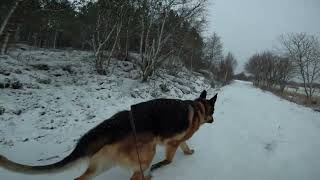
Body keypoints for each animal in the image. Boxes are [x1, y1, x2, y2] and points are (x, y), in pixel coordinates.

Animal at [0, 90, 218, 179]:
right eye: (213, 112)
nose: (214, 121)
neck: (198, 106)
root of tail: (116, 124)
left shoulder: (178, 141)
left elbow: (185, 146)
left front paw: (188, 152)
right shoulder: (173, 144)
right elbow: (171, 157)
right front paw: (164, 165)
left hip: (103, 164)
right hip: (146, 155)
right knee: (137, 176)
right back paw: (148, 176)